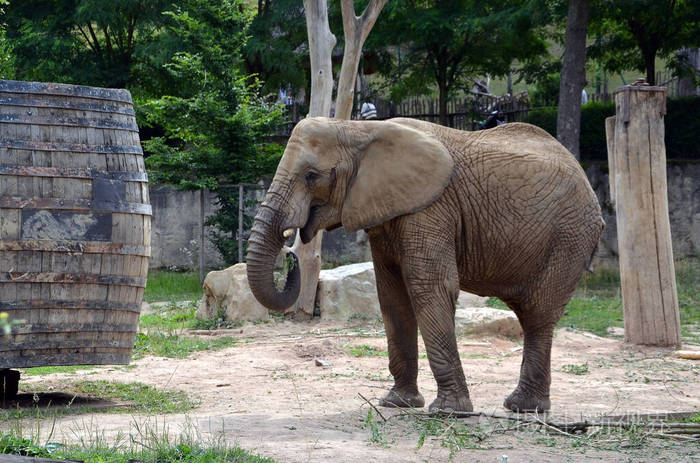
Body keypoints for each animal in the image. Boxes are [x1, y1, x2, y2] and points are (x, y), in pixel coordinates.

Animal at [247, 117, 604, 413]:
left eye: (311, 176)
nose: (290, 251)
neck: (357, 128)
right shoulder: (385, 212)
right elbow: (392, 295)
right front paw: (397, 403)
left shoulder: (431, 207)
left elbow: (429, 287)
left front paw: (448, 411)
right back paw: (525, 407)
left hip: (570, 235)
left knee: (538, 315)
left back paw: (523, 407)